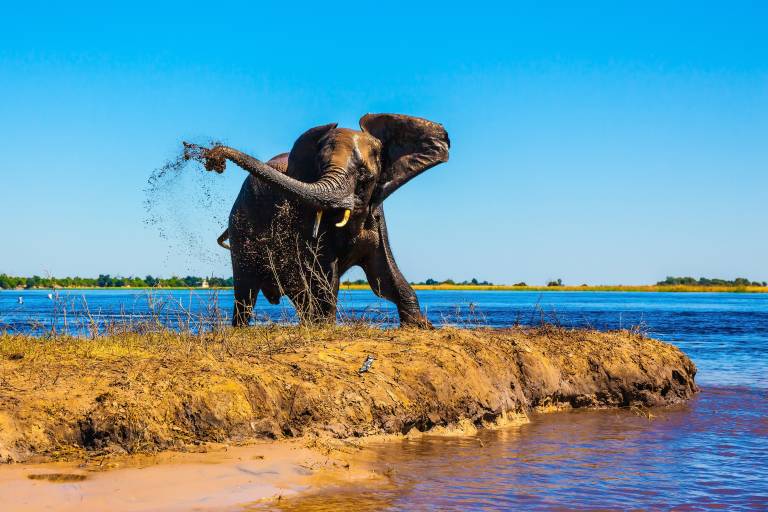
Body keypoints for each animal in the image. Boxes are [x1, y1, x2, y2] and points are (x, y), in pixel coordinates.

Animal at [184, 113, 450, 326]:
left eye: (364, 175)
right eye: (319, 168)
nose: (213, 158)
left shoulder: (376, 214)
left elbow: (384, 275)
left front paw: (420, 326)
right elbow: (324, 273)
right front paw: (325, 327)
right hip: (240, 226)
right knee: (246, 290)